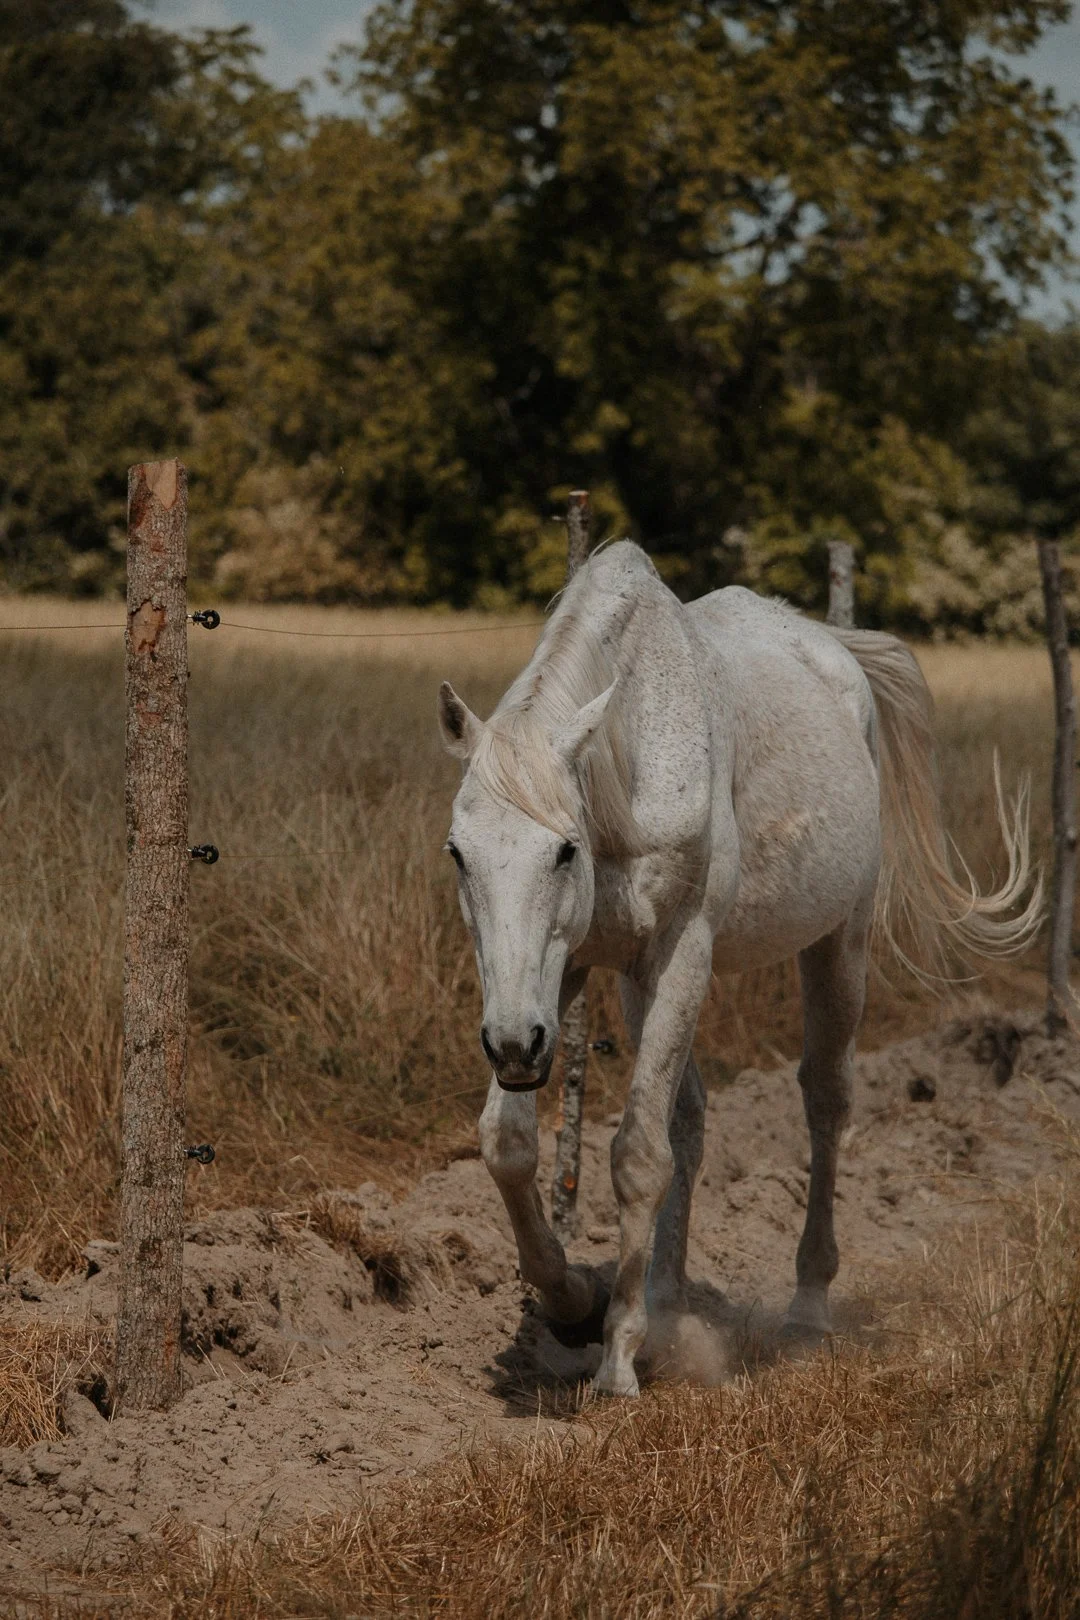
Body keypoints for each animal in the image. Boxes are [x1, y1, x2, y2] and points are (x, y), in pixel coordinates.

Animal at [436, 541, 1040, 1397]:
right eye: (459, 853)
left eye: (564, 850)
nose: (513, 1044)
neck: (637, 752)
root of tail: (833, 651)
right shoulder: (571, 970)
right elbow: (511, 1143)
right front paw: (570, 1298)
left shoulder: (678, 948)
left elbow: (636, 1153)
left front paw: (616, 1359)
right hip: (635, 986)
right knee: (688, 1120)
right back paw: (665, 1303)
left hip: (836, 945)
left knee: (825, 1101)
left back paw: (805, 1309)